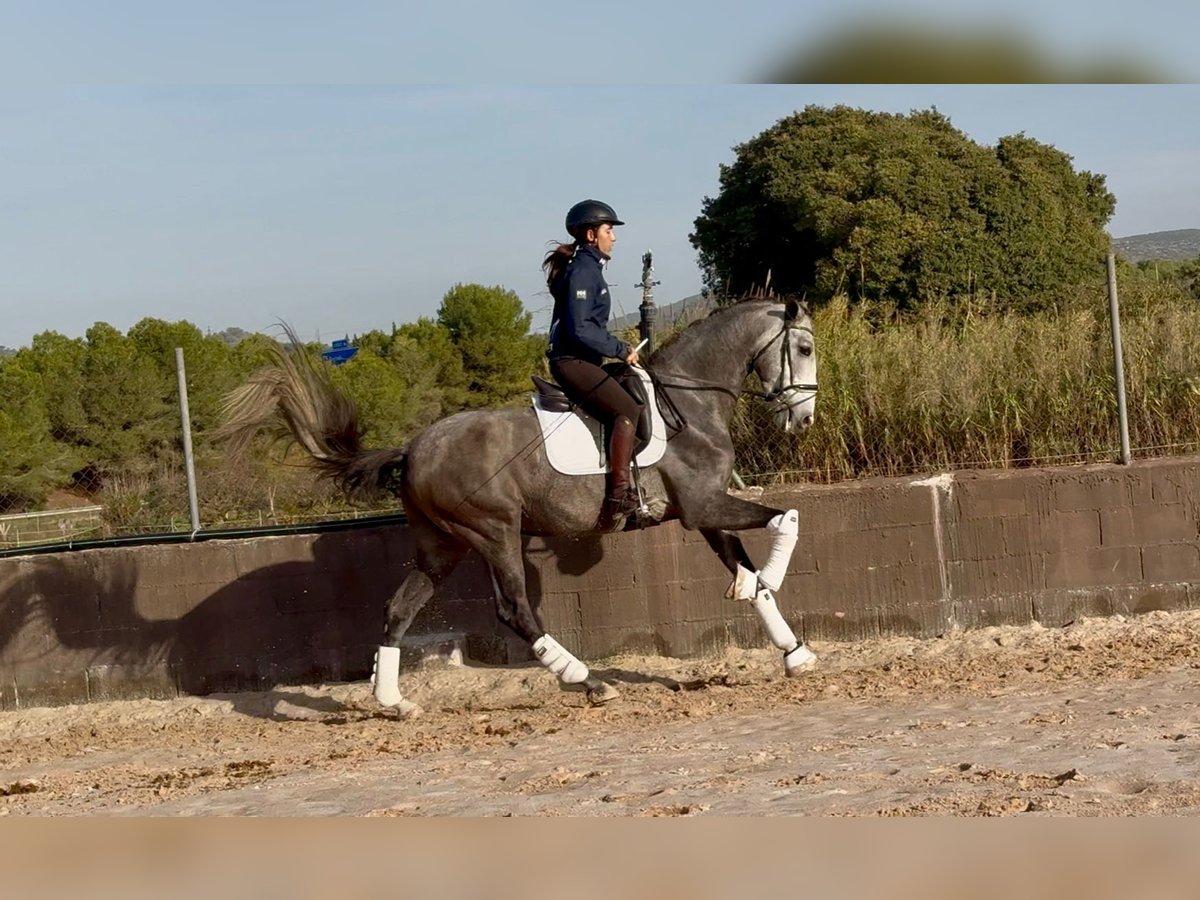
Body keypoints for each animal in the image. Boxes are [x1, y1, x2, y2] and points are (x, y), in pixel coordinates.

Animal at [220, 297, 819, 716]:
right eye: (806, 350)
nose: (804, 419)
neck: (689, 401)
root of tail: (414, 448)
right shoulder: (703, 506)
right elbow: (786, 519)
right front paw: (770, 580)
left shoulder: (703, 512)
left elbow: (747, 566)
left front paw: (794, 651)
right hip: (495, 533)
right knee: (514, 611)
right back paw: (588, 681)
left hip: (443, 547)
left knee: (399, 609)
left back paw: (393, 703)